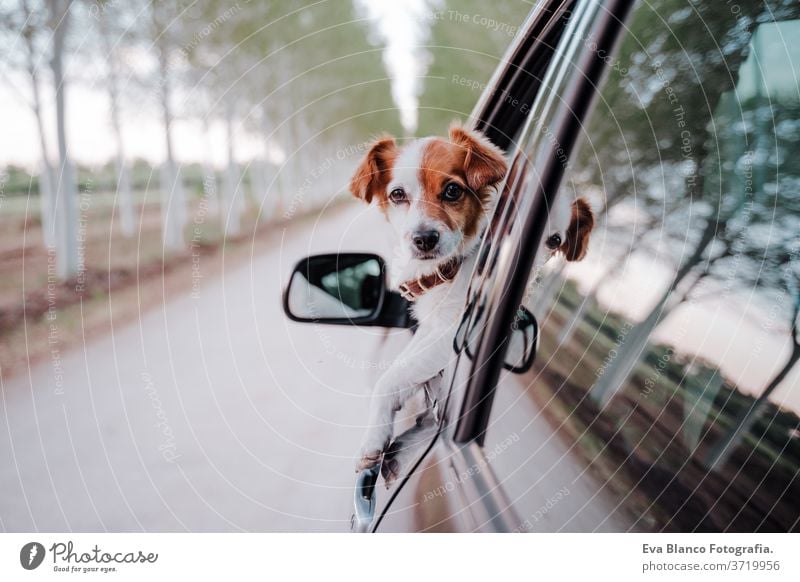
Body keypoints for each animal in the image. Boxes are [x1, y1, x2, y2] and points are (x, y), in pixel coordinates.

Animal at [350, 125, 592, 486]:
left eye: (453, 191)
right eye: (397, 195)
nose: (424, 239)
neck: (451, 270)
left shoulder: (451, 333)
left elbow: (391, 378)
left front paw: (376, 440)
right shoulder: (434, 331)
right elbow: (402, 370)